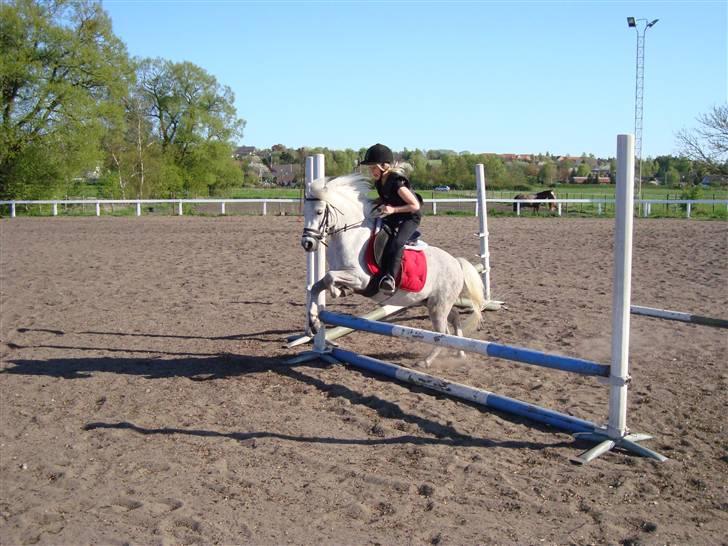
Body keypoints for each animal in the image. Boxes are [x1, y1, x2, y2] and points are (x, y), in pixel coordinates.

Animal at [302, 174, 484, 366]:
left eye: (319, 212)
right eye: (305, 212)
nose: (307, 243)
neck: (351, 236)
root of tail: (456, 263)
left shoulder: (361, 279)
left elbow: (329, 278)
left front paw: (337, 292)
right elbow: (316, 286)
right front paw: (313, 322)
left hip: (438, 305)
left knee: (441, 333)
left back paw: (426, 361)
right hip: (431, 302)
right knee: (453, 319)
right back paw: (460, 352)